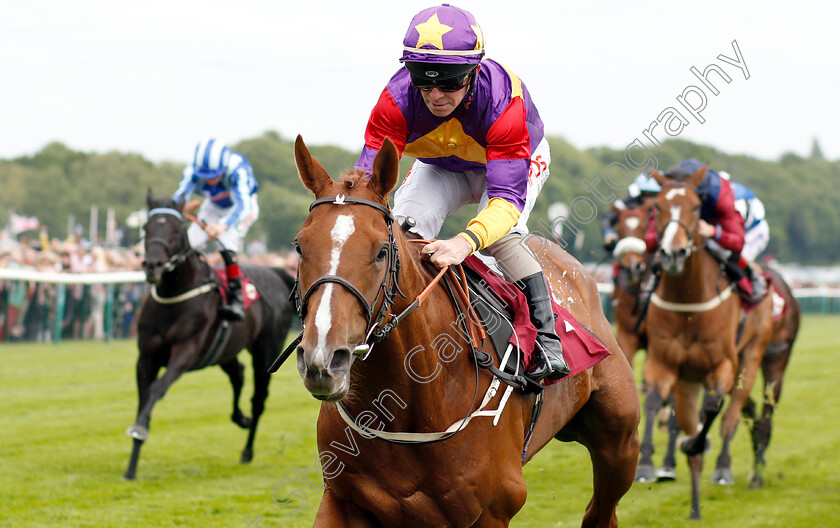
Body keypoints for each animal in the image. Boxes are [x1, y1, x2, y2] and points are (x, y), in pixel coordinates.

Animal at [122, 192, 296, 480]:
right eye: (146, 228)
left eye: (176, 229)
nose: (153, 266)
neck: (175, 297)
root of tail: (276, 272)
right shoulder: (145, 358)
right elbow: (143, 398)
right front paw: (131, 466)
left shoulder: (186, 352)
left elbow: (157, 389)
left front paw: (140, 429)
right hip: (225, 351)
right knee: (238, 375)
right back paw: (240, 418)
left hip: (267, 351)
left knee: (258, 399)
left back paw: (247, 451)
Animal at [292, 137, 640, 528]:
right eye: (300, 246)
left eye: (381, 251)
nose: (323, 358)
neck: (409, 405)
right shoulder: (344, 499)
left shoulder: (493, 509)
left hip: (619, 444)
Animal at [644, 166, 776, 520]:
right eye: (657, 207)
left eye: (694, 207)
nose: (672, 254)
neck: (689, 300)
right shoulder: (663, 363)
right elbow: (653, 401)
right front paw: (647, 464)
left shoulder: (723, 365)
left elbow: (714, 408)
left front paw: (697, 445)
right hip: (687, 382)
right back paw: (694, 508)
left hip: (752, 357)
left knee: (730, 417)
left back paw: (723, 468)